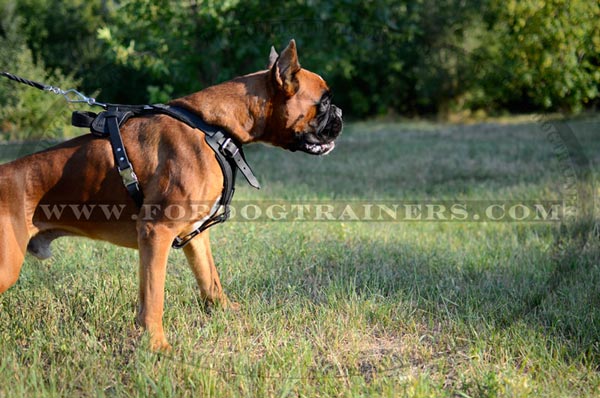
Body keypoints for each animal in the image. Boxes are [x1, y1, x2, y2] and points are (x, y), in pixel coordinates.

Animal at [0, 40, 342, 350]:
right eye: (324, 102)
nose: (339, 111)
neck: (213, 127)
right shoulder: (156, 232)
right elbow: (153, 297)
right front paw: (156, 346)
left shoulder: (195, 234)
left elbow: (209, 278)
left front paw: (224, 311)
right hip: (7, 267)